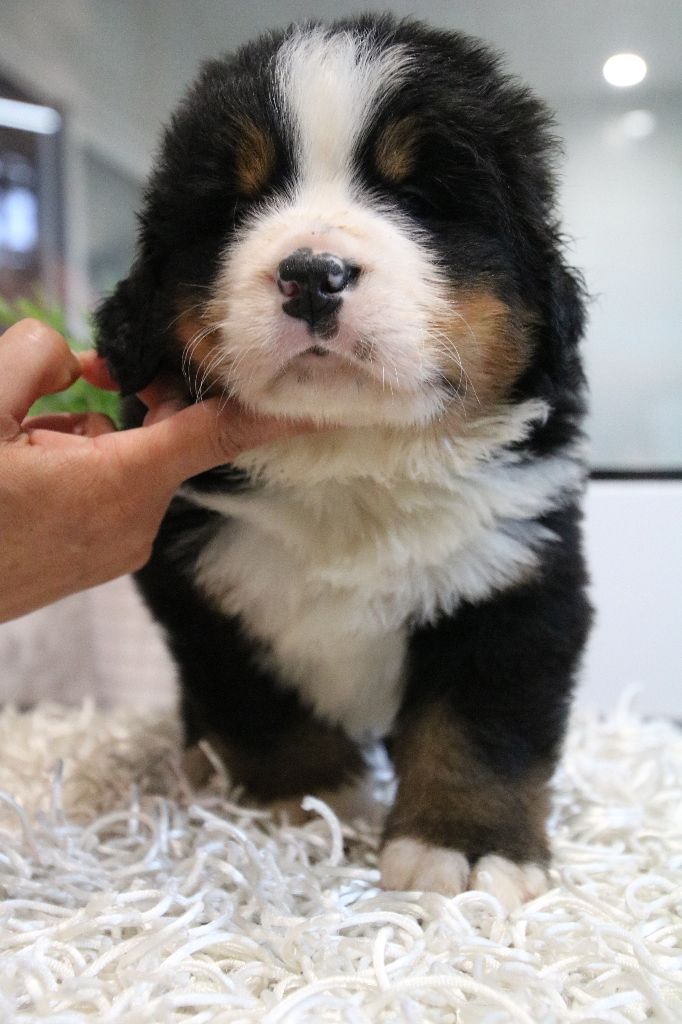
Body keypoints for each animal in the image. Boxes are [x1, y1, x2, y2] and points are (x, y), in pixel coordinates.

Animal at [95, 14, 589, 905]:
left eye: (420, 199)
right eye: (236, 205)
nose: (311, 275)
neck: (349, 458)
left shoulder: (519, 576)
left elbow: (480, 725)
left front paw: (463, 845)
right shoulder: (202, 586)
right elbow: (263, 709)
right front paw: (308, 804)